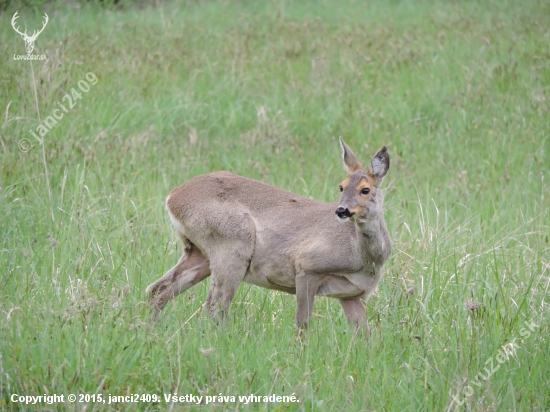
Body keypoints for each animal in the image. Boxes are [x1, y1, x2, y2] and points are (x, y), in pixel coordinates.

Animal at [147, 138, 392, 334]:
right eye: (341, 186)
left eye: (365, 189)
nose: (341, 210)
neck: (362, 257)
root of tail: (172, 198)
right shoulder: (307, 265)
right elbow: (302, 323)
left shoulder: (352, 295)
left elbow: (364, 336)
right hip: (231, 248)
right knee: (216, 305)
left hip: (198, 253)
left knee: (158, 289)